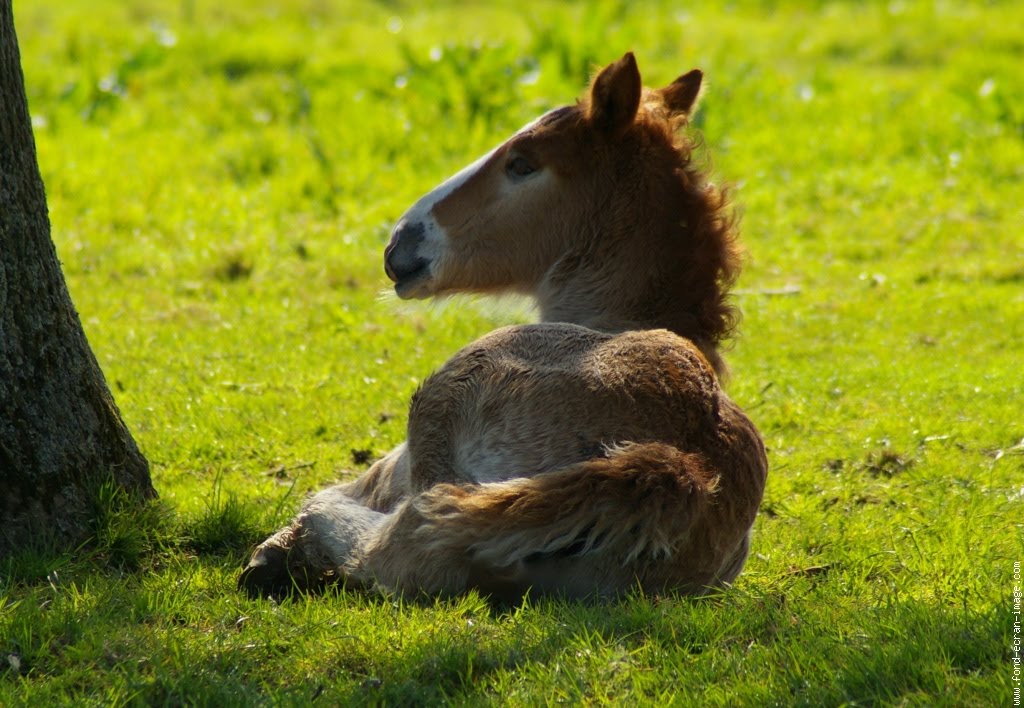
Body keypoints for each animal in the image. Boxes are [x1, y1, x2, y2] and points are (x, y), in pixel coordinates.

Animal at [239, 53, 768, 602]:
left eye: (521, 164)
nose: (400, 243)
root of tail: (681, 461)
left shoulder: (394, 464)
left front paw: (275, 550)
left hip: (447, 393)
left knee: (404, 543)